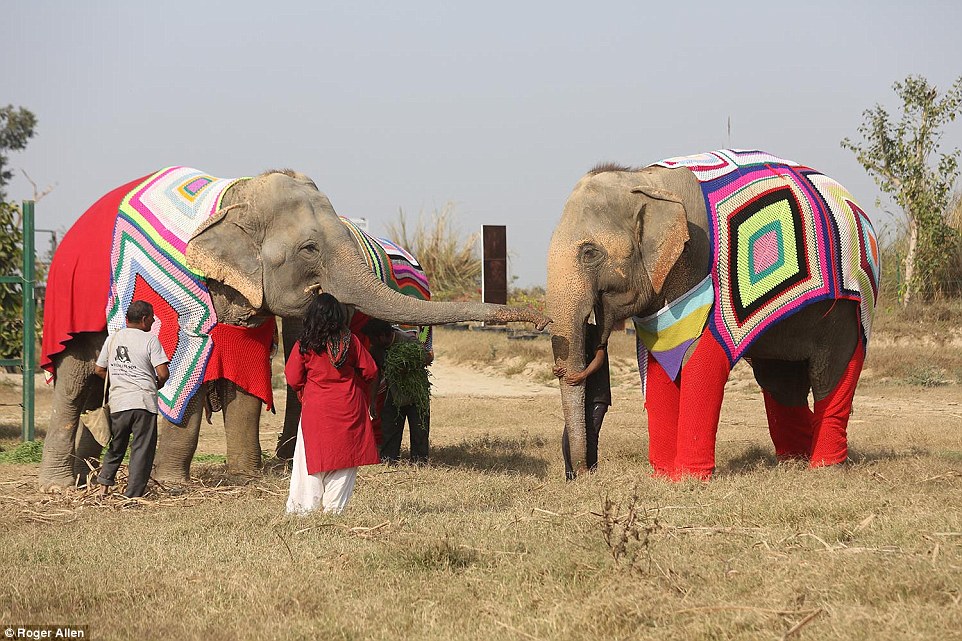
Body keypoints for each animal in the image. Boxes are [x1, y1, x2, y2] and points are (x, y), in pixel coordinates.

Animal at [39, 166, 548, 490]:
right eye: (309, 248)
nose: (543, 318)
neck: (236, 193)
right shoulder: (180, 288)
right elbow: (184, 372)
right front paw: (174, 486)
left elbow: (246, 376)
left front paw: (245, 478)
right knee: (75, 382)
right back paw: (60, 486)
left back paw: (89, 476)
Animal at [548, 150, 876, 480]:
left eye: (590, 253)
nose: (582, 472)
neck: (646, 180)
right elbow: (657, 364)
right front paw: (663, 477)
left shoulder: (710, 279)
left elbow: (703, 358)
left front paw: (688, 479)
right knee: (779, 381)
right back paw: (793, 460)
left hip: (850, 308)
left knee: (829, 373)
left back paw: (824, 466)